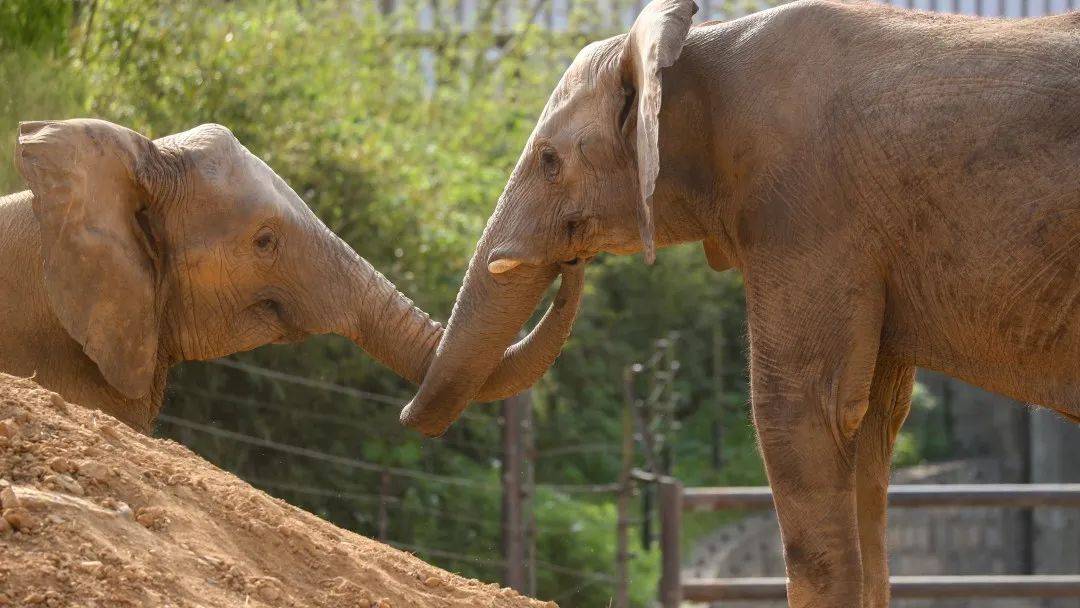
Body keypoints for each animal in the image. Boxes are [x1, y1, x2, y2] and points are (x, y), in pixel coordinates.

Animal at [401, 2, 1080, 604]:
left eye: (548, 160)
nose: (570, 266)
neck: (696, 48)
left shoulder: (806, 208)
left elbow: (798, 411)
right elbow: (870, 426)